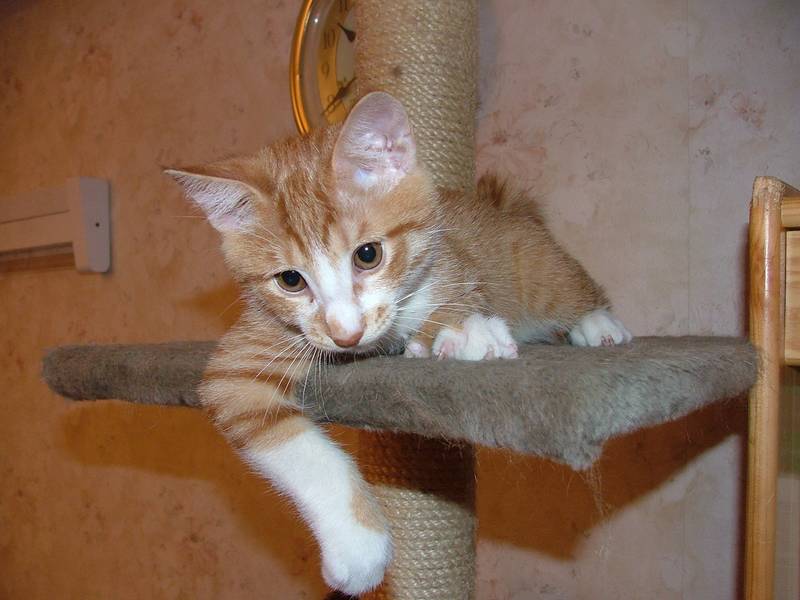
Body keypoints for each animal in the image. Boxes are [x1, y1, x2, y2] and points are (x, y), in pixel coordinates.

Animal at [166, 91, 631, 595]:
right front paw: (357, 546)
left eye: (368, 255)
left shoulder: (452, 256)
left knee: (568, 288)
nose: (345, 333)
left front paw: (461, 328)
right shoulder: (238, 366)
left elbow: (460, 288)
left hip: (537, 266)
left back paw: (596, 324)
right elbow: (294, 448)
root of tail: (502, 208)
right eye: (290, 280)